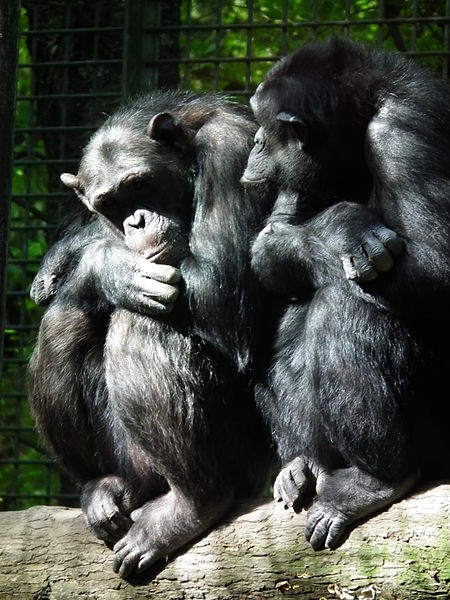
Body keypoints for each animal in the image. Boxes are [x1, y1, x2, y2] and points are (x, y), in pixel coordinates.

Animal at [243, 35, 450, 552]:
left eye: (261, 123)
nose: (255, 142)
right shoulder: (299, 181)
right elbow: (271, 249)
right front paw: (336, 229)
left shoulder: (404, 133)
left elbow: (438, 263)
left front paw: (340, 228)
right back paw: (303, 463)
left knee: (346, 304)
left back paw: (377, 479)